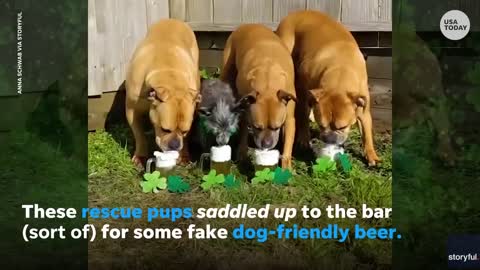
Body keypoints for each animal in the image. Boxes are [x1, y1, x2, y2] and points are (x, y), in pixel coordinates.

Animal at [124, 19, 200, 166]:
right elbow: (139, 134)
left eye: (185, 131)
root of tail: (173, 19)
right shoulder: (131, 110)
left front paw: (184, 155)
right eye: (165, 129)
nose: (175, 145)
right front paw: (140, 155)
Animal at [220, 24, 296, 169]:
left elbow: (288, 145)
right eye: (256, 127)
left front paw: (286, 167)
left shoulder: (289, 119)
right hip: (227, 69)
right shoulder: (246, 110)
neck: (268, 85)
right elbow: (244, 130)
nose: (266, 144)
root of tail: (249, 24)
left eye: (276, 127)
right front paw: (242, 154)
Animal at [276, 11, 380, 165]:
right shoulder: (304, 90)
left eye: (342, 127)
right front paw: (303, 138)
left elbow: (367, 133)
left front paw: (371, 155)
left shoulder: (363, 108)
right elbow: (303, 114)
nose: (329, 140)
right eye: (321, 125)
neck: (340, 75)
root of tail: (296, 13)